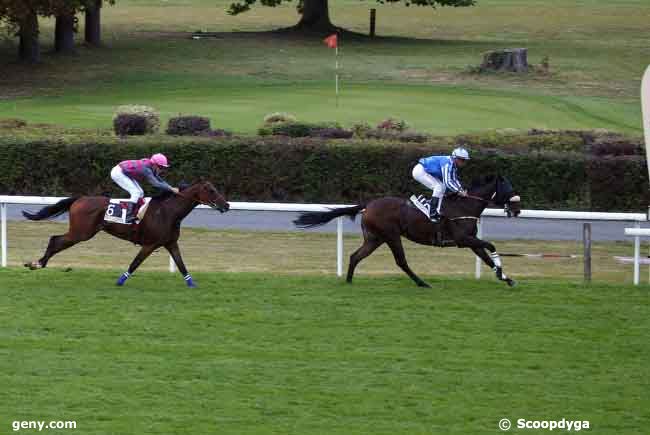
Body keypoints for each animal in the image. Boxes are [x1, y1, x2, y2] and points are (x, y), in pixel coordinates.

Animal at [21, 181, 229, 288]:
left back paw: (38, 263)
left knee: (56, 240)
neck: (167, 212)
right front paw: (120, 280)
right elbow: (135, 263)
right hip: (81, 232)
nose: (226, 205)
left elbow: (181, 265)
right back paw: (37, 263)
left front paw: (192, 284)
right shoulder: (150, 244)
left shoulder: (170, 243)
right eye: (211, 190)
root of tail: (80, 199)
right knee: (55, 240)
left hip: (81, 232)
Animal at [294, 175, 520, 288]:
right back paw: (422, 283)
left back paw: (349, 281)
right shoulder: (462, 239)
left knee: (355, 256)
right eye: (508, 189)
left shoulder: (470, 240)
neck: (465, 206)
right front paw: (501, 271)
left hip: (374, 238)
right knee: (401, 261)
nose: (517, 209)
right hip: (392, 236)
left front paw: (505, 277)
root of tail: (369, 204)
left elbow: (485, 256)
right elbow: (490, 246)